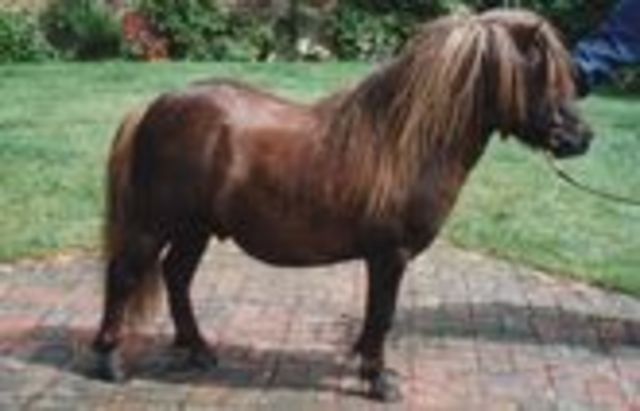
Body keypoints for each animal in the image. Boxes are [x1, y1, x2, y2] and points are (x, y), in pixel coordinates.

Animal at [90, 9, 593, 401]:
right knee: (124, 277)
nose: (581, 138)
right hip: (154, 225)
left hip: (194, 228)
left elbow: (376, 319)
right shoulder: (389, 255)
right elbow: (381, 317)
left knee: (177, 277)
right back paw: (111, 363)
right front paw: (378, 381)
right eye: (542, 74)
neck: (405, 143)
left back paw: (198, 350)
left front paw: (371, 370)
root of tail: (153, 106)